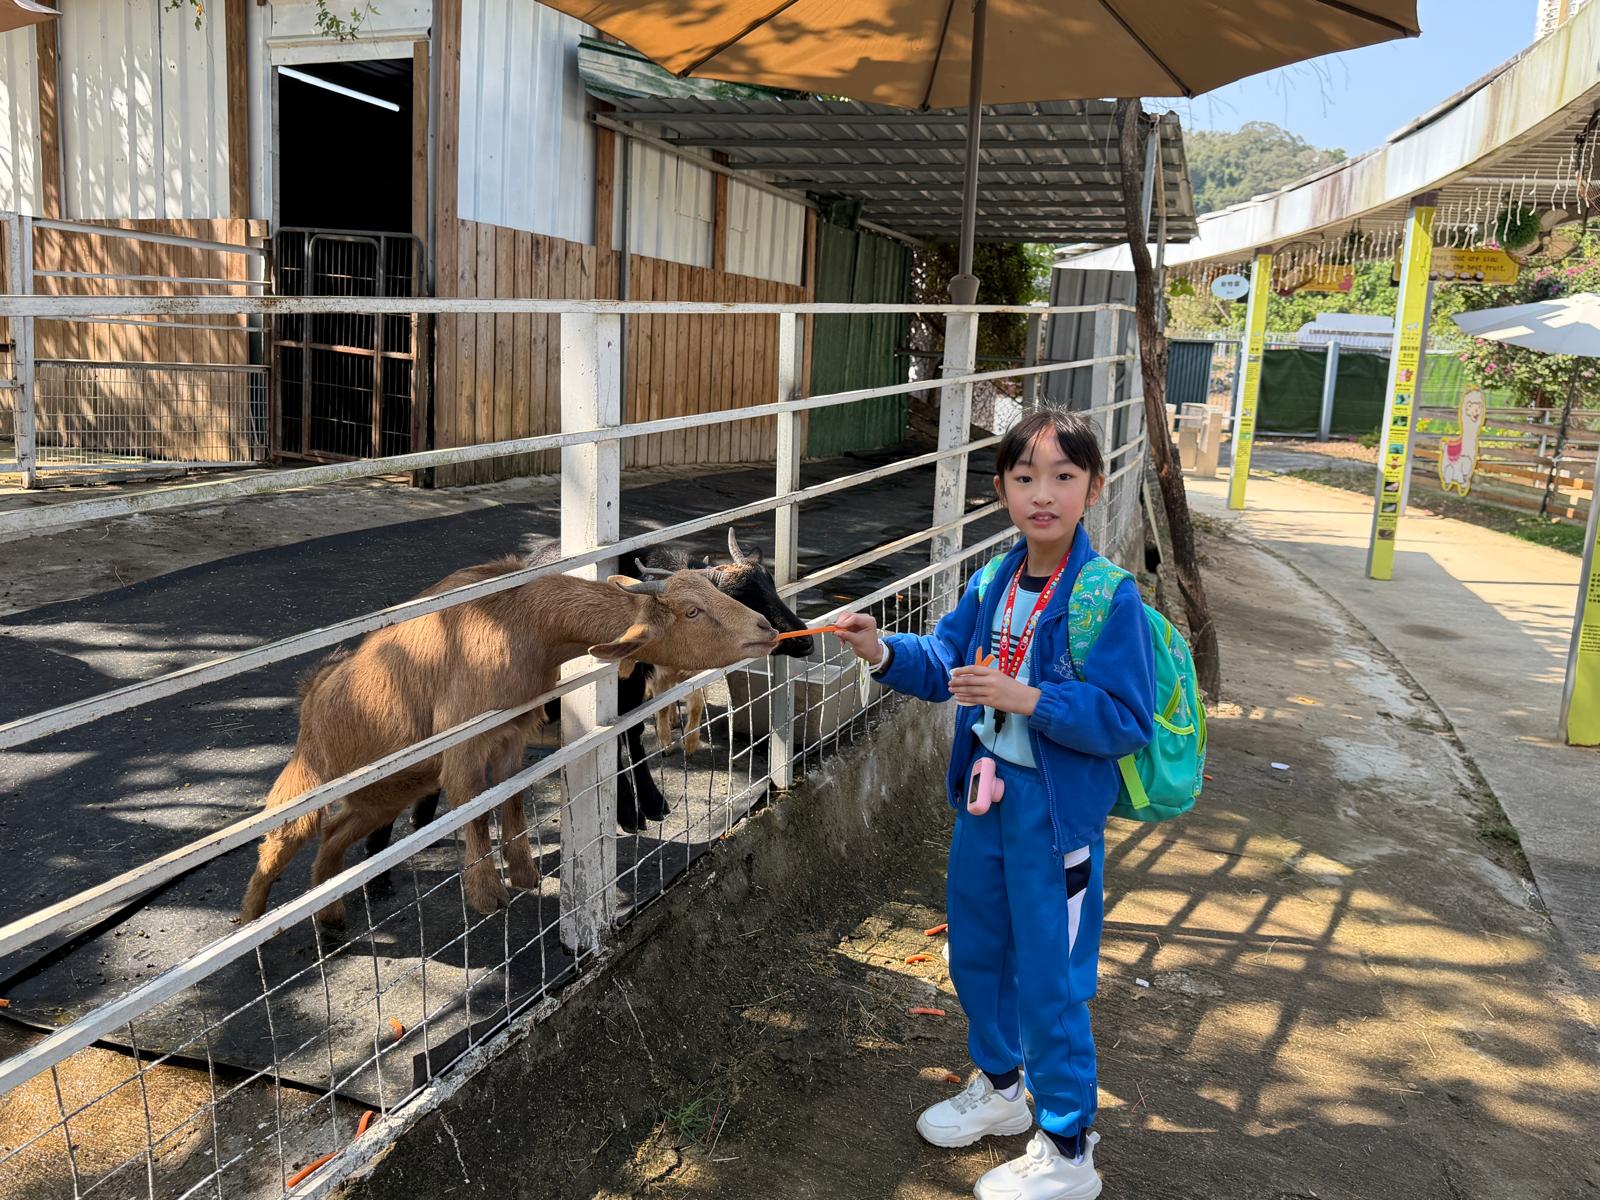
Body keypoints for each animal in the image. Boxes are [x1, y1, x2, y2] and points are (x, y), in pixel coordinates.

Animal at [238, 557, 782, 928]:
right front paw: (486, 894)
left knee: (335, 835)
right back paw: (251, 916)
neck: (518, 621)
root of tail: (316, 687)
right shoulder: (463, 743)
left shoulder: (510, 737)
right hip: (310, 775)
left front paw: (522, 874)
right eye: (692, 610)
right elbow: (474, 808)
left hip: (389, 789)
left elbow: (512, 798)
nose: (768, 629)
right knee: (282, 835)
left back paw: (329, 915)